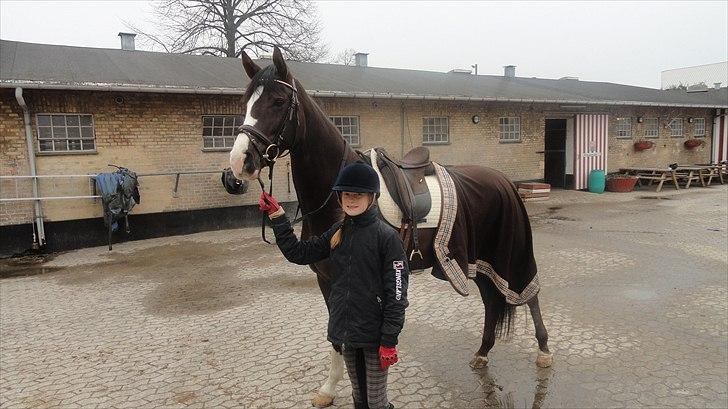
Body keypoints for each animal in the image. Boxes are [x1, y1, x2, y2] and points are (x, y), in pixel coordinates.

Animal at [230, 47, 556, 404]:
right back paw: (482, 352)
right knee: (491, 302)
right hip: (481, 260)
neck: (339, 199)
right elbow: (336, 336)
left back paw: (544, 350)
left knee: (528, 294)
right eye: (245, 102)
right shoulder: (327, 280)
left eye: (277, 101)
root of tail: (504, 180)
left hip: (508, 254)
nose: (239, 163)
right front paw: (329, 389)